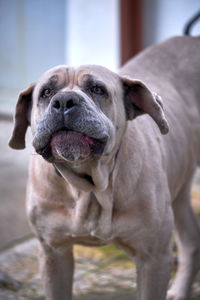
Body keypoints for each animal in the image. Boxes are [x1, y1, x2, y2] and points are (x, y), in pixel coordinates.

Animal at [9, 35, 200, 300]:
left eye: (97, 89)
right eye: (46, 92)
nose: (64, 101)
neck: (89, 186)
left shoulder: (153, 259)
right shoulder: (53, 253)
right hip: (179, 191)